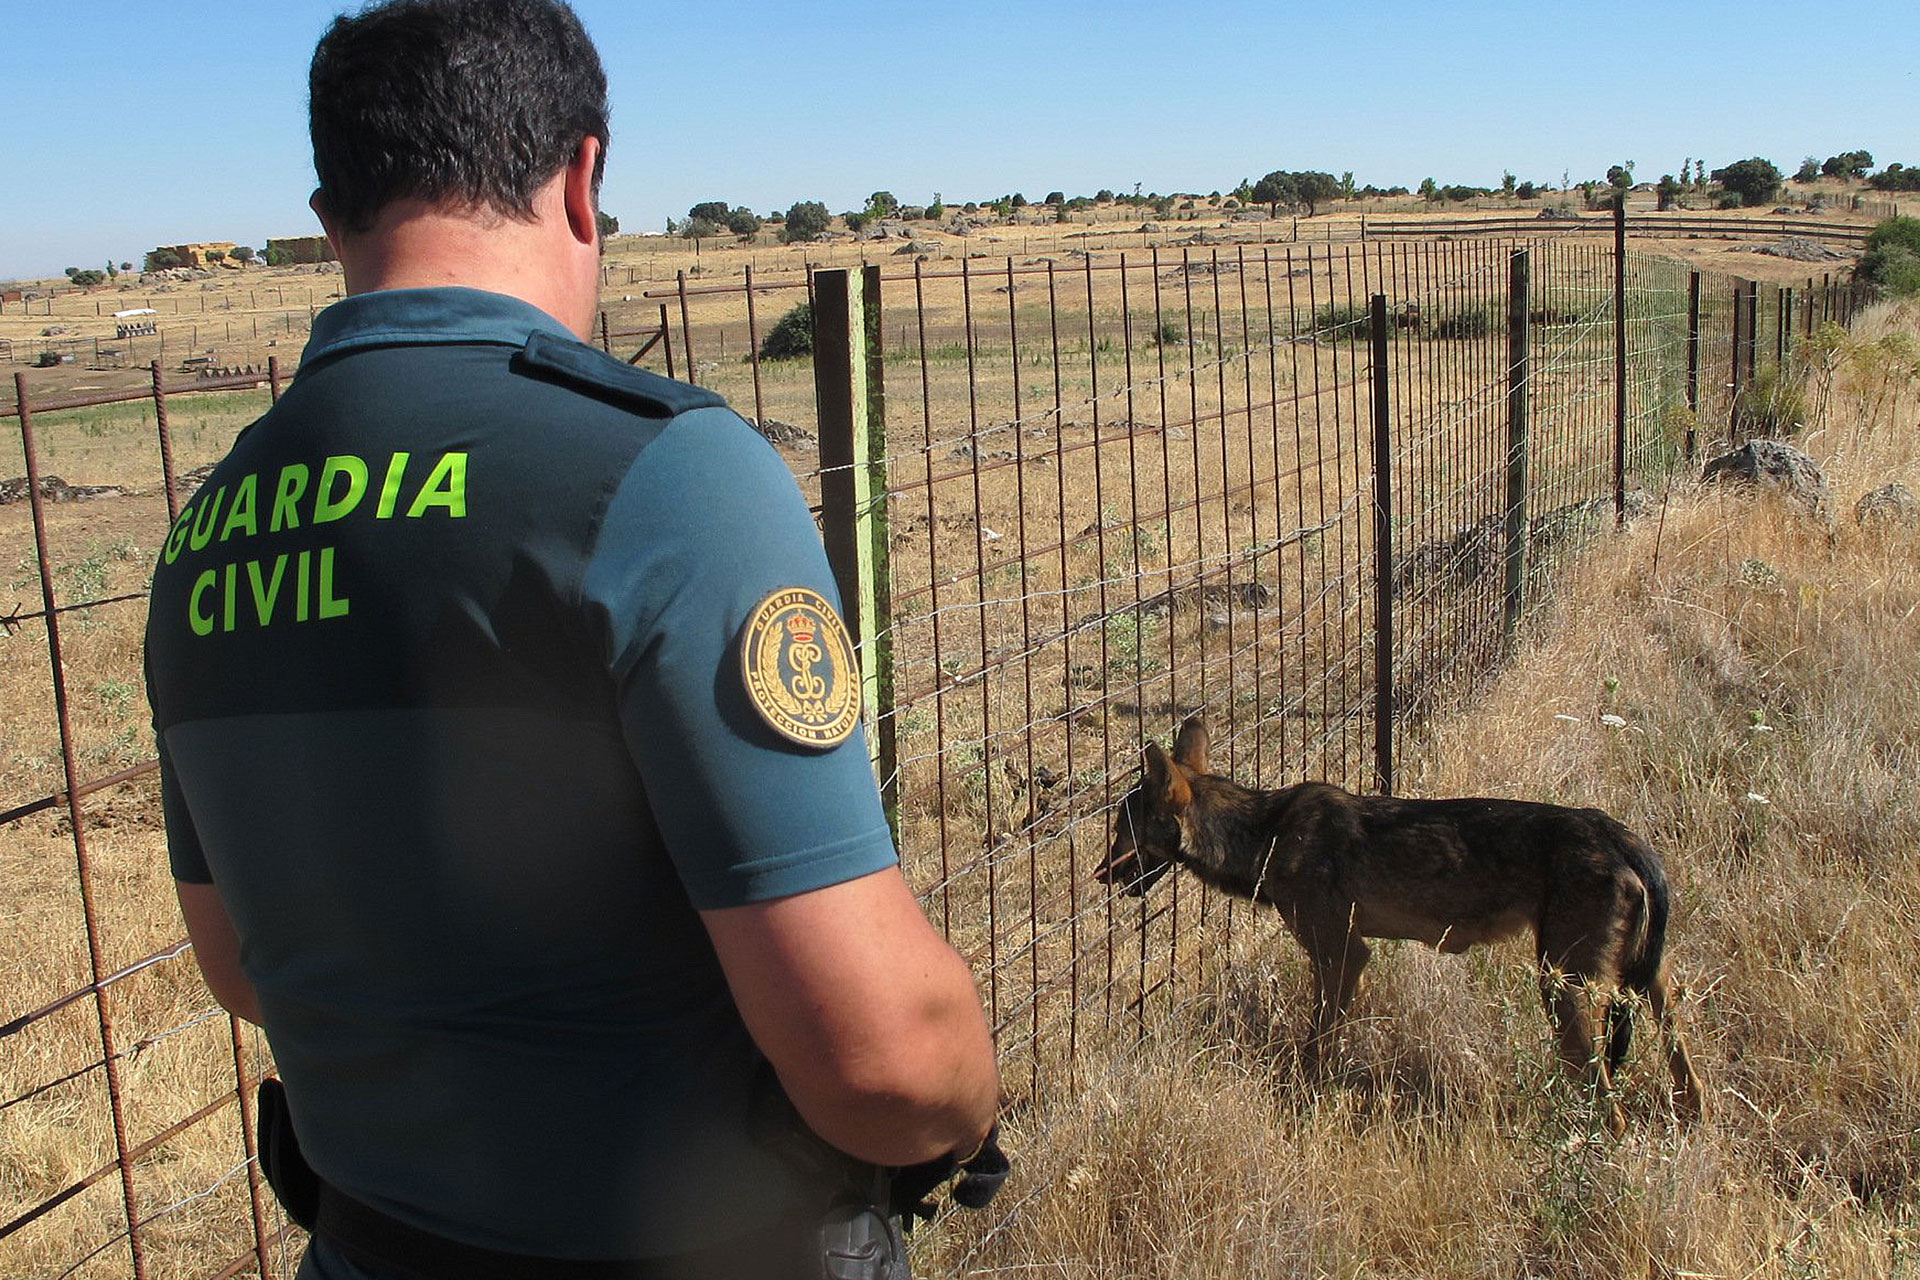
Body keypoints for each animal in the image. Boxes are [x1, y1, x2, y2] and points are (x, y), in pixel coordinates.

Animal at [1097, 715, 1705, 1134]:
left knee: (1609, 1107)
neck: (1264, 834)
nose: (1100, 876)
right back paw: (1688, 1119)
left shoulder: (1343, 956)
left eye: (1123, 826)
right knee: (1687, 1072)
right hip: (1648, 986)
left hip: (1564, 990)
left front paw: (1301, 1102)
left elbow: (1316, 1047)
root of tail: (1620, 835)